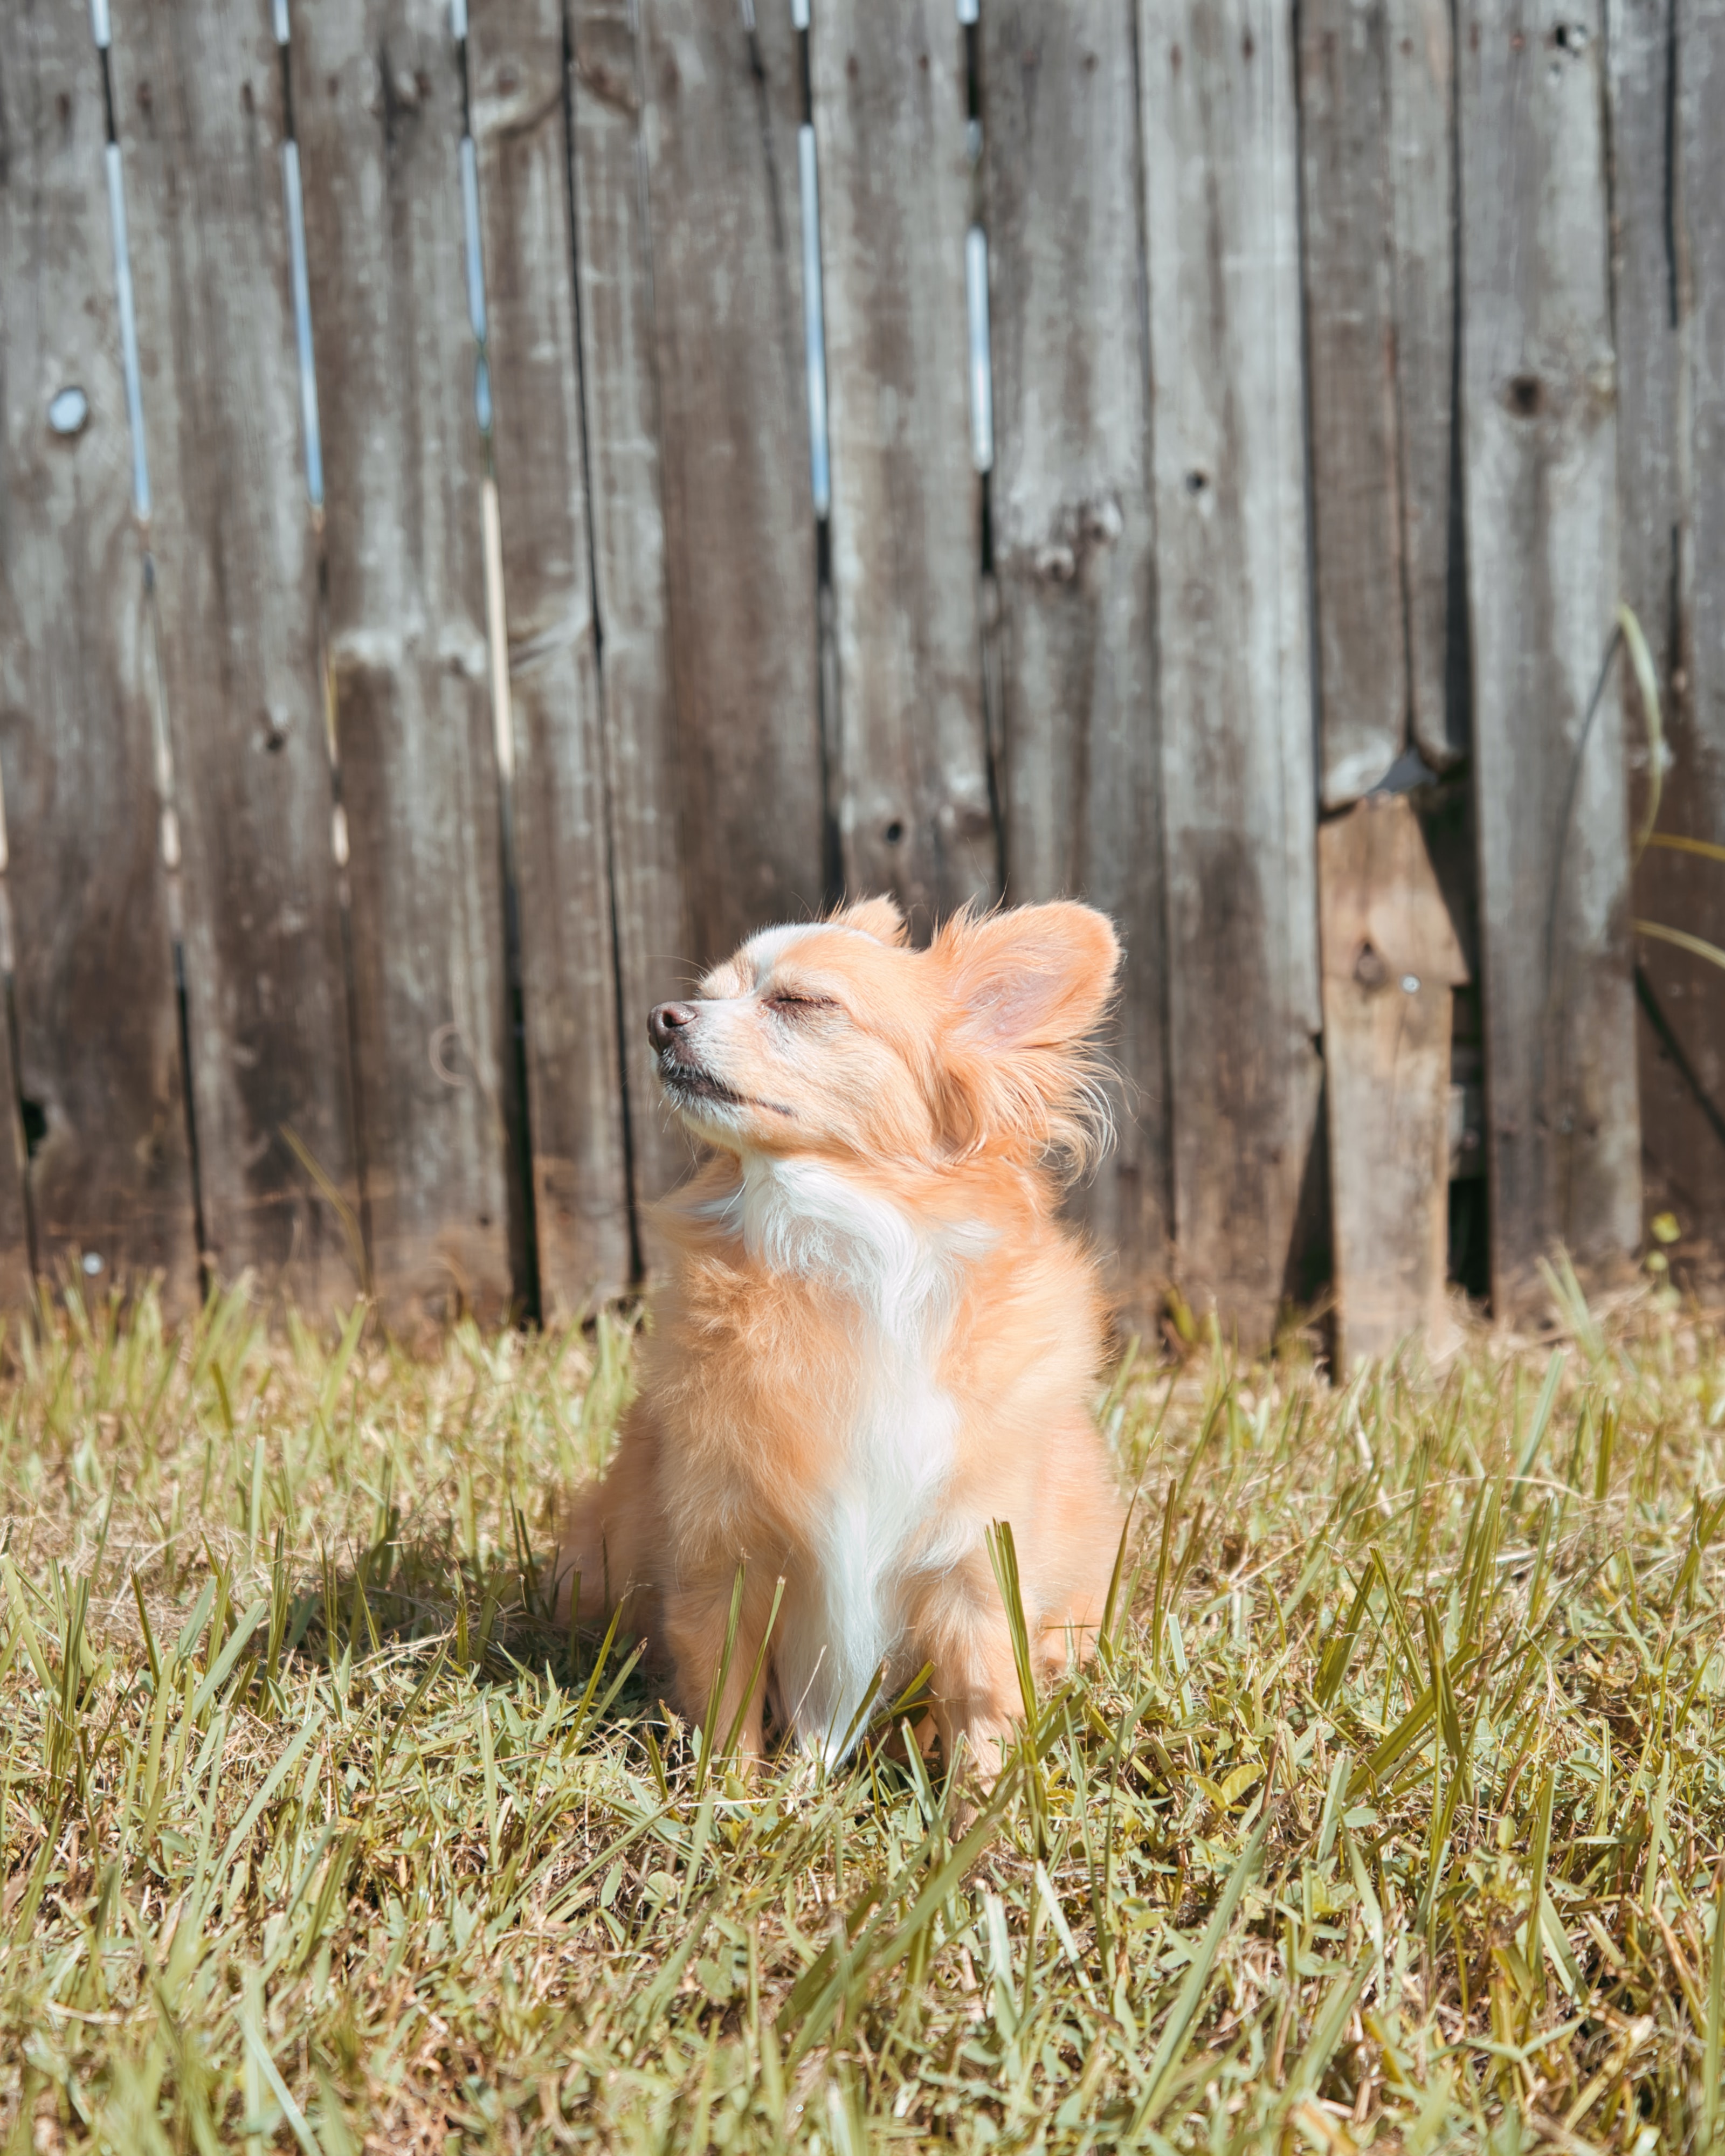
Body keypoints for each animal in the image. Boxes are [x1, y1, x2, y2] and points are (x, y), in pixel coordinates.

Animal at [565, 893, 1121, 1768]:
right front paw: (728, 1796)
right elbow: (725, 1705)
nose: (661, 1018)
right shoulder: (720, 1560)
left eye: (800, 1003)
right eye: (708, 993)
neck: (835, 1241)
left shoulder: (976, 1571)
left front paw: (983, 1807)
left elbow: (984, 1713)